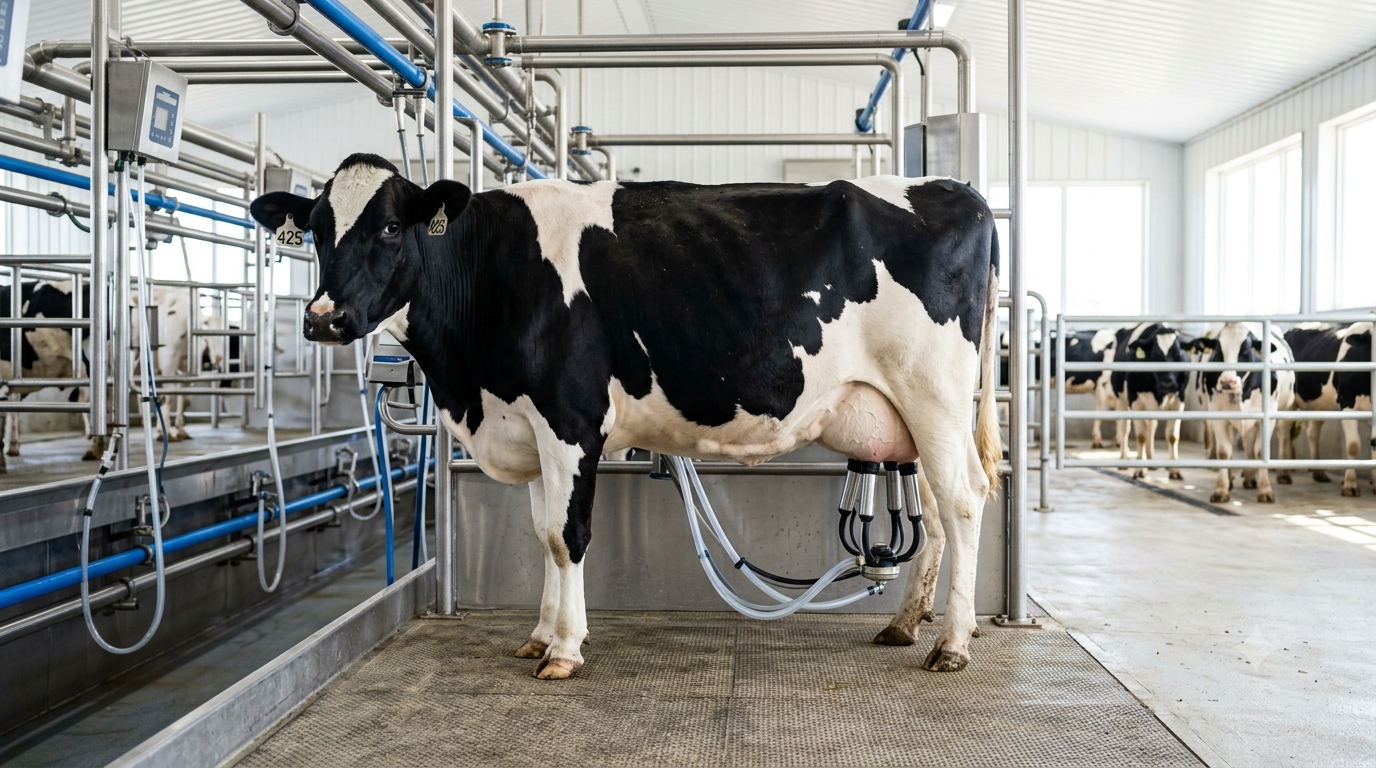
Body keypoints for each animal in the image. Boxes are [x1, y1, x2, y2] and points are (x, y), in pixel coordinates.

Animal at [250, 154, 1002, 678]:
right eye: (315, 231)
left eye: (386, 226)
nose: (323, 318)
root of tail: (959, 190)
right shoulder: (528, 426)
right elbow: (540, 535)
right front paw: (539, 636)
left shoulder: (569, 418)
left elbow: (568, 536)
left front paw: (565, 649)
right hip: (908, 415)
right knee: (938, 514)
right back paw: (906, 624)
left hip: (934, 393)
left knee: (964, 502)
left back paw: (952, 643)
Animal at [1112, 323, 1191, 480]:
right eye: (1155, 356)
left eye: (1178, 355)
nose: (1168, 382)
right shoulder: (1135, 401)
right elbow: (1140, 436)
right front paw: (1140, 470)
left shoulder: (1179, 400)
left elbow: (1173, 436)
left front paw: (1175, 470)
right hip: (1121, 399)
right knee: (1124, 428)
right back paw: (1124, 460)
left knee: (1151, 426)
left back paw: (1152, 460)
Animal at [1188, 323, 1295, 503]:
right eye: (1218, 350)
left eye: (1245, 350)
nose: (1227, 382)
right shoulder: (1219, 417)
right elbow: (1224, 451)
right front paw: (1221, 489)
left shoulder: (1267, 418)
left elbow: (1260, 451)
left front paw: (1265, 490)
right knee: (1244, 444)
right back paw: (1242, 478)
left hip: (1284, 412)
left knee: (1283, 436)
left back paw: (1280, 474)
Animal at [1285, 322, 1374, 496]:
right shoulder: (1346, 403)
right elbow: (1353, 445)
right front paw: (1350, 484)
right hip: (1287, 402)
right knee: (1284, 431)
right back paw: (1283, 473)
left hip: (1318, 406)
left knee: (1313, 432)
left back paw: (1318, 472)